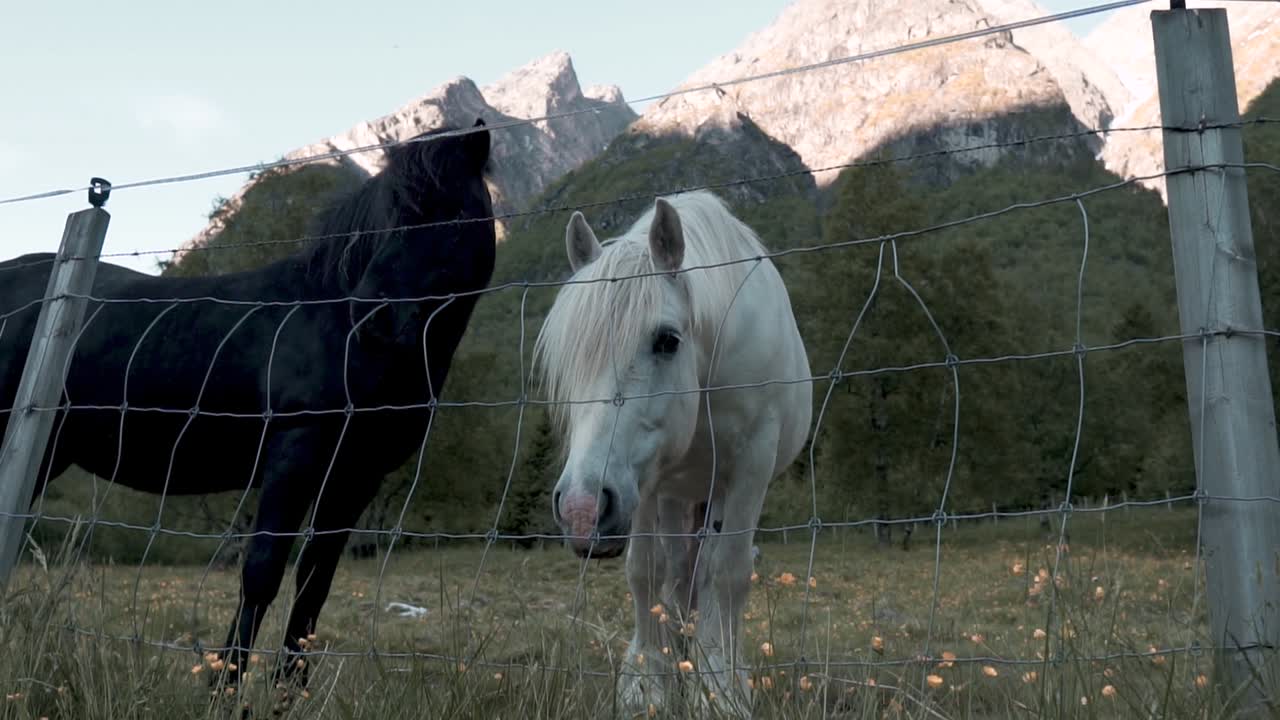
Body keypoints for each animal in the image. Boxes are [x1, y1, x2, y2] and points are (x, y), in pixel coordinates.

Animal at [0, 119, 496, 680]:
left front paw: (289, 690)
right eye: (390, 216)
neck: (330, 323)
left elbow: (313, 590)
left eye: (453, 213)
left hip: (50, 453)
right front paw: (225, 686)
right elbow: (261, 576)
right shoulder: (294, 454)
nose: (373, 318)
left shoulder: (354, 478)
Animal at [532, 190, 812, 715]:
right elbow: (646, 574)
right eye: (568, 355)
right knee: (679, 578)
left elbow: (727, 575)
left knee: (705, 575)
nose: (581, 511)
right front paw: (649, 683)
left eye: (666, 340)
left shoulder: (749, 469)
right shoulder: (642, 483)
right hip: (672, 495)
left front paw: (720, 689)